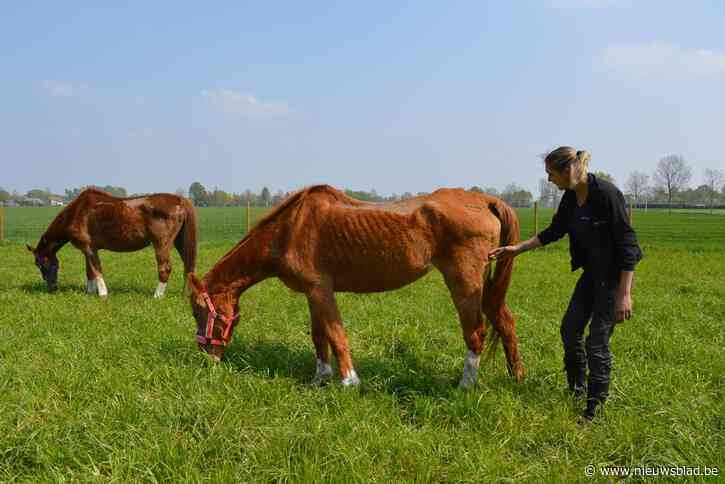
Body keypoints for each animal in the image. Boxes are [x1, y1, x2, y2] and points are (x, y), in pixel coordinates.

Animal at [27, 188, 197, 298]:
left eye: (40, 263)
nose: (51, 287)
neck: (76, 212)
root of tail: (181, 200)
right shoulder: (89, 249)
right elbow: (89, 271)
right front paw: (90, 292)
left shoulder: (88, 247)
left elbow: (96, 269)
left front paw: (102, 294)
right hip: (180, 242)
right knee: (188, 266)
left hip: (161, 243)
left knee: (165, 268)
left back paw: (157, 295)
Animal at [187, 185, 523, 389]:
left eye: (198, 311)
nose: (208, 357)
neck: (290, 229)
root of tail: (485, 200)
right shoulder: (312, 293)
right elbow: (319, 335)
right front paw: (320, 379)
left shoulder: (321, 290)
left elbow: (336, 335)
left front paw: (349, 382)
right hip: (484, 283)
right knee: (504, 321)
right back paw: (517, 376)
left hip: (464, 281)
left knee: (476, 332)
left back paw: (465, 385)